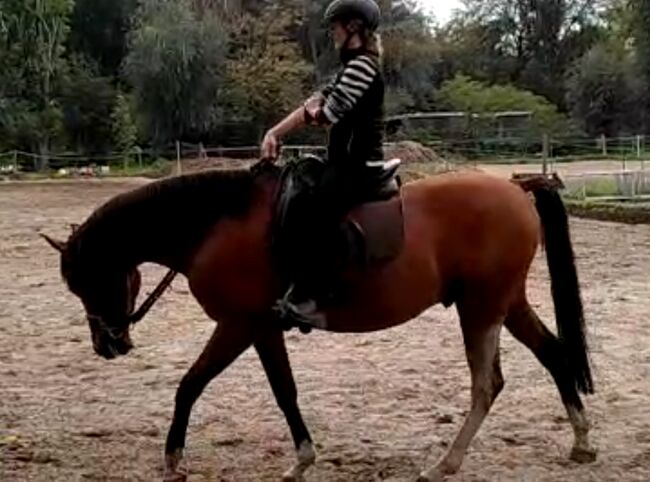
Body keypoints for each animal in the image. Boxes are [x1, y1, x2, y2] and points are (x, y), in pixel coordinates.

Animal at [41, 159, 596, 482]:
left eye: (85, 281)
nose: (108, 345)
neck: (214, 225)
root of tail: (516, 188)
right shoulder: (261, 329)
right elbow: (283, 391)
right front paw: (302, 457)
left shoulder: (239, 326)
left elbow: (193, 385)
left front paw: (174, 458)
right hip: (504, 302)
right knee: (553, 355)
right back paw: (581, 441)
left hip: (480, 308)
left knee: (487, 383)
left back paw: (445, 463)